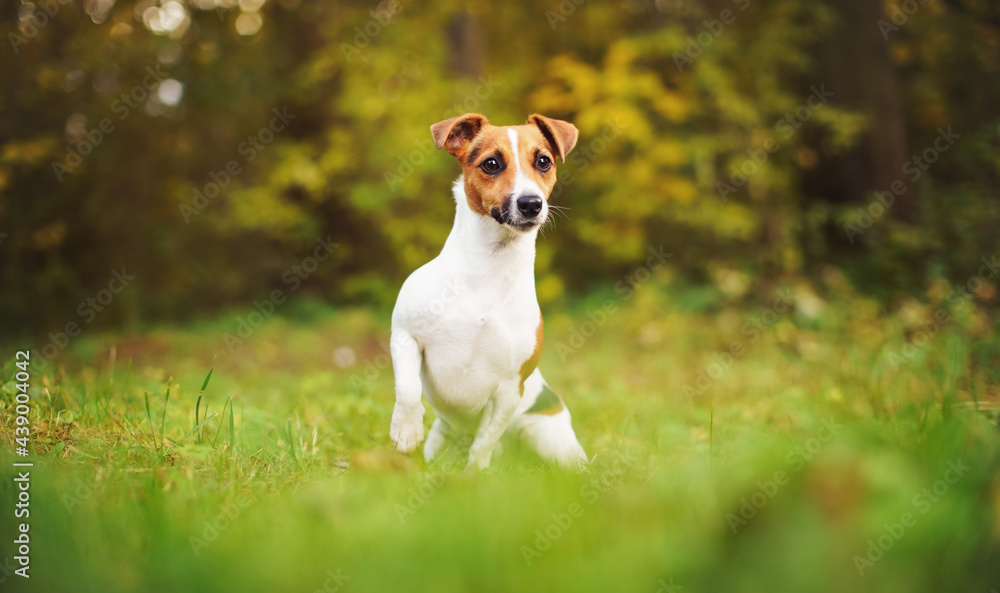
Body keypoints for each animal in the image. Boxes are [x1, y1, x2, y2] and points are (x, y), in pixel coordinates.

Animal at [384, 112, 584, 468]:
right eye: (491, 163)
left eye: (544, 161)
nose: (531, 203)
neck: (489, 270)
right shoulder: (405, 335)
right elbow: (407, 389)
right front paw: (406, 430)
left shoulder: (510, 389)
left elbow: (484, 442)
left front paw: (473, 475)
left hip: (550, 440)